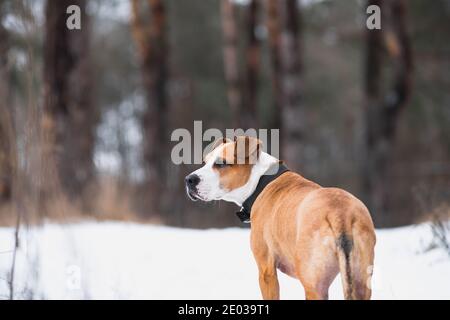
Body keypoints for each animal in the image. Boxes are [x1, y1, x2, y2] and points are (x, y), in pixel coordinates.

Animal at [184, 136, 376, 300]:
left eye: (221, 163)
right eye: (205, 162)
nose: (189, 179)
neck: (260, 181)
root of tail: (339, 213)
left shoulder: (266, 271)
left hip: (314, 285)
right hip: (361, 281)